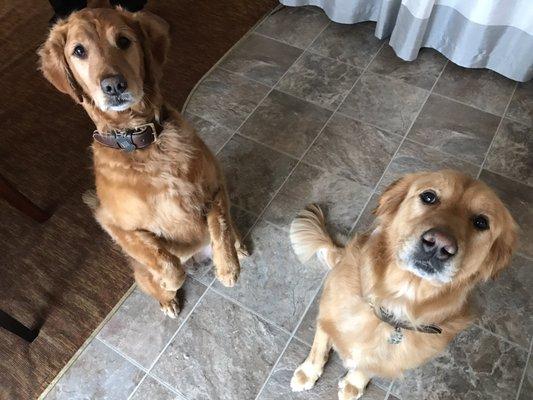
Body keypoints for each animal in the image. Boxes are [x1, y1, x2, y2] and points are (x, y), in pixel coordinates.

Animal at [37, 7, 245, 318]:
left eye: (124, 41)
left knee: (232, 229)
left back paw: (240, 247)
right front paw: (169, 280)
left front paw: (228, 267)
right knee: (157, 279)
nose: (113, 85)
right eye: (78, 51)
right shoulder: (113, 223)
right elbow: (163, 260)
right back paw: (168, 299)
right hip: (139, 270)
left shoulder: (215, 186)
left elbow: (219, 225)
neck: (144, 142)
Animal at [288, 170, 516, 400]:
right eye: (429, 197)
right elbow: (319, 346)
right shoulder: (326, 314)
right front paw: (308, 373)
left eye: (481, 222)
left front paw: (354, 384)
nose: (439, 244)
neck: (395, 302)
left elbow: (369, 367)